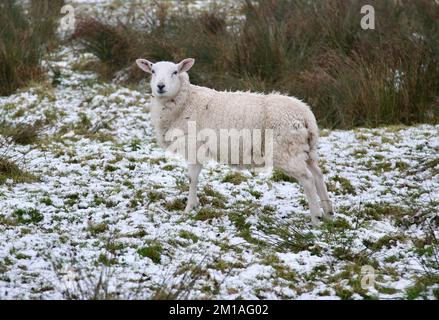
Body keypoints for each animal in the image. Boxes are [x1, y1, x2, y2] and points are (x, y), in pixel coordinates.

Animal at [135, 57, 334, 225]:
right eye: (153, 71)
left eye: (175, 72)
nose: (160, 86)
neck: (187, 101)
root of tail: (306, 114)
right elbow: (194, 178)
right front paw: (194, 205)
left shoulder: (194, 147)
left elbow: (192, 178)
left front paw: (189, 208)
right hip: (305, 149)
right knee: (318, 175)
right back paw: (329, 213)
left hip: (286, 150)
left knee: (307, 179)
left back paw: (316, 218)